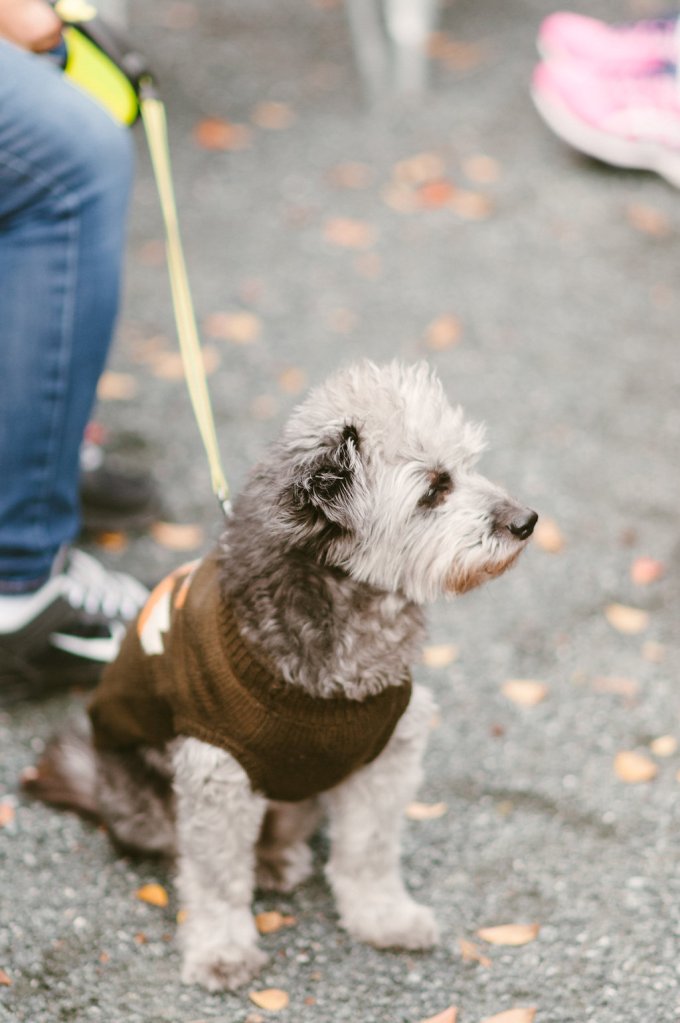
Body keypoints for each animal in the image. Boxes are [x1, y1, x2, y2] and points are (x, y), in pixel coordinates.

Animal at [26, 360, 537, 992]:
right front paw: (221, 948)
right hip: (144, 800)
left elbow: (369, 852)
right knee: (178, 849)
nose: (527, 521)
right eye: (434, 488)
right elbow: (216, 878)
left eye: (468, 466)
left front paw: (382, 916)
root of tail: (95, 786)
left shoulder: (388, 758)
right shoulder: (216, 775)